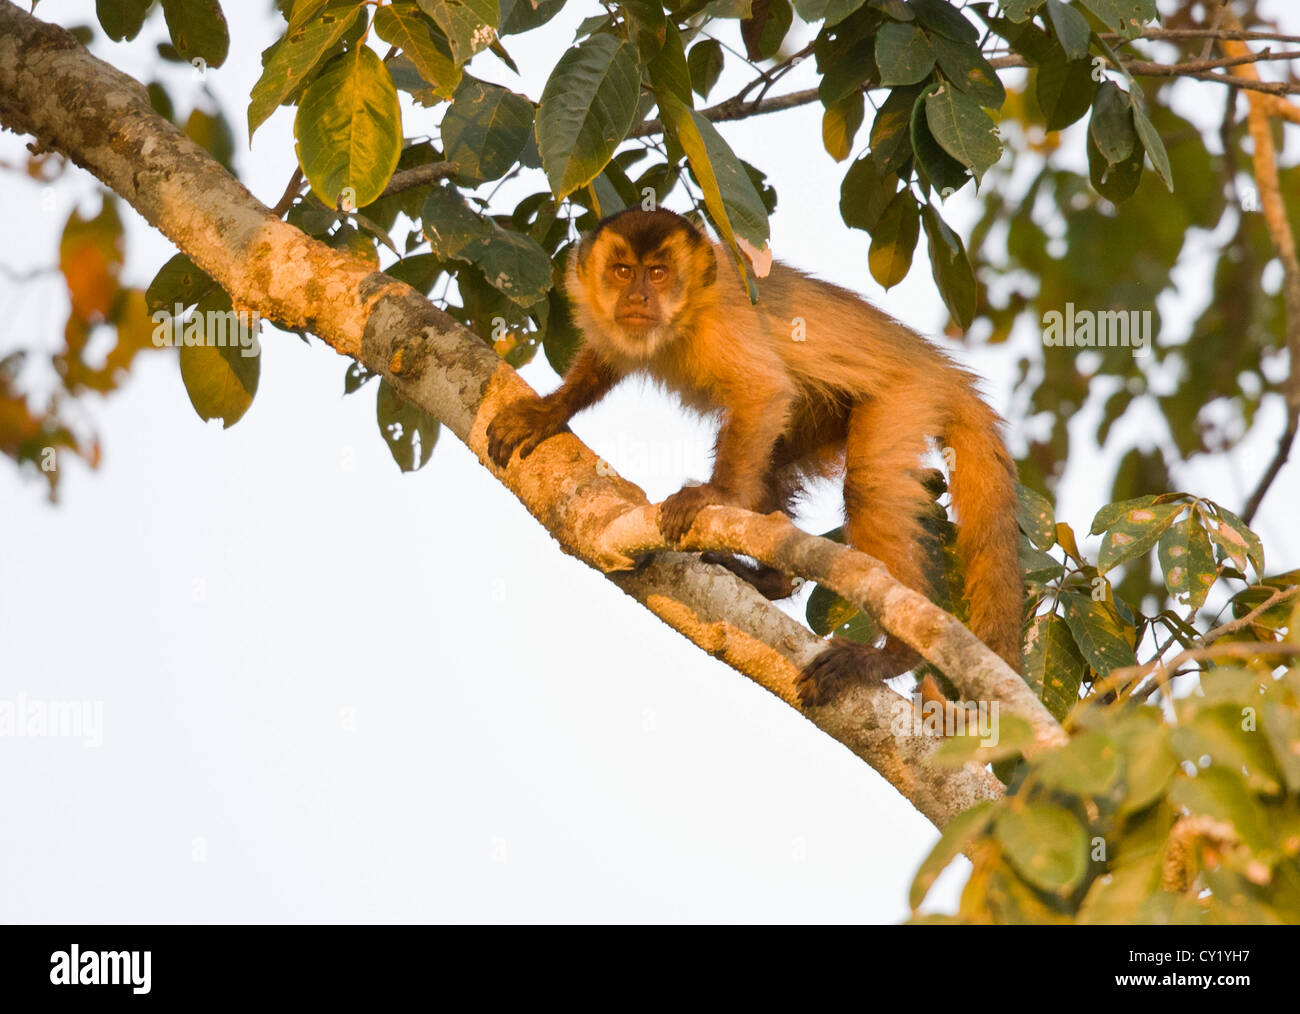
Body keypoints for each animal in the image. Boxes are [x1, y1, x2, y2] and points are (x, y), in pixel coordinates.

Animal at [483, 201, 1019, 702]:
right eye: (621, 271)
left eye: (657, 273)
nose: (637, 296)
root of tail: (940, 367)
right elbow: (605, 361)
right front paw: (549, 412)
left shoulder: (723, 317)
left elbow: (762, 391)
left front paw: (714, 496)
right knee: (776, 459)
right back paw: (774, 582)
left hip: (905, 398)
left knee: (864, 484)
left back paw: (893, 656)